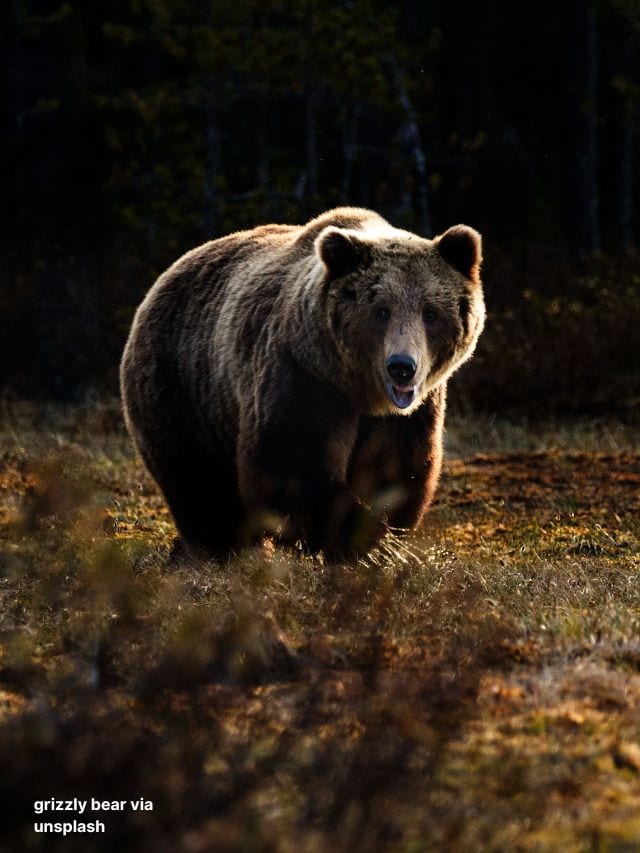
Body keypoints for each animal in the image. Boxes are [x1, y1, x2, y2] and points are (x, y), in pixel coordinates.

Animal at [120, 208, 482, 560]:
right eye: (381, 311)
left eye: (430, 312)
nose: (402, 368)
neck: (360, 389)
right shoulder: (302, 374)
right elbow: (291, 461)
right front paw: (364, 542)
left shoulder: (410, 412)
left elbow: (395, 468)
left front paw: (381, 539)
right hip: (182, 387)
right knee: (198, 480)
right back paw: (221, 548)